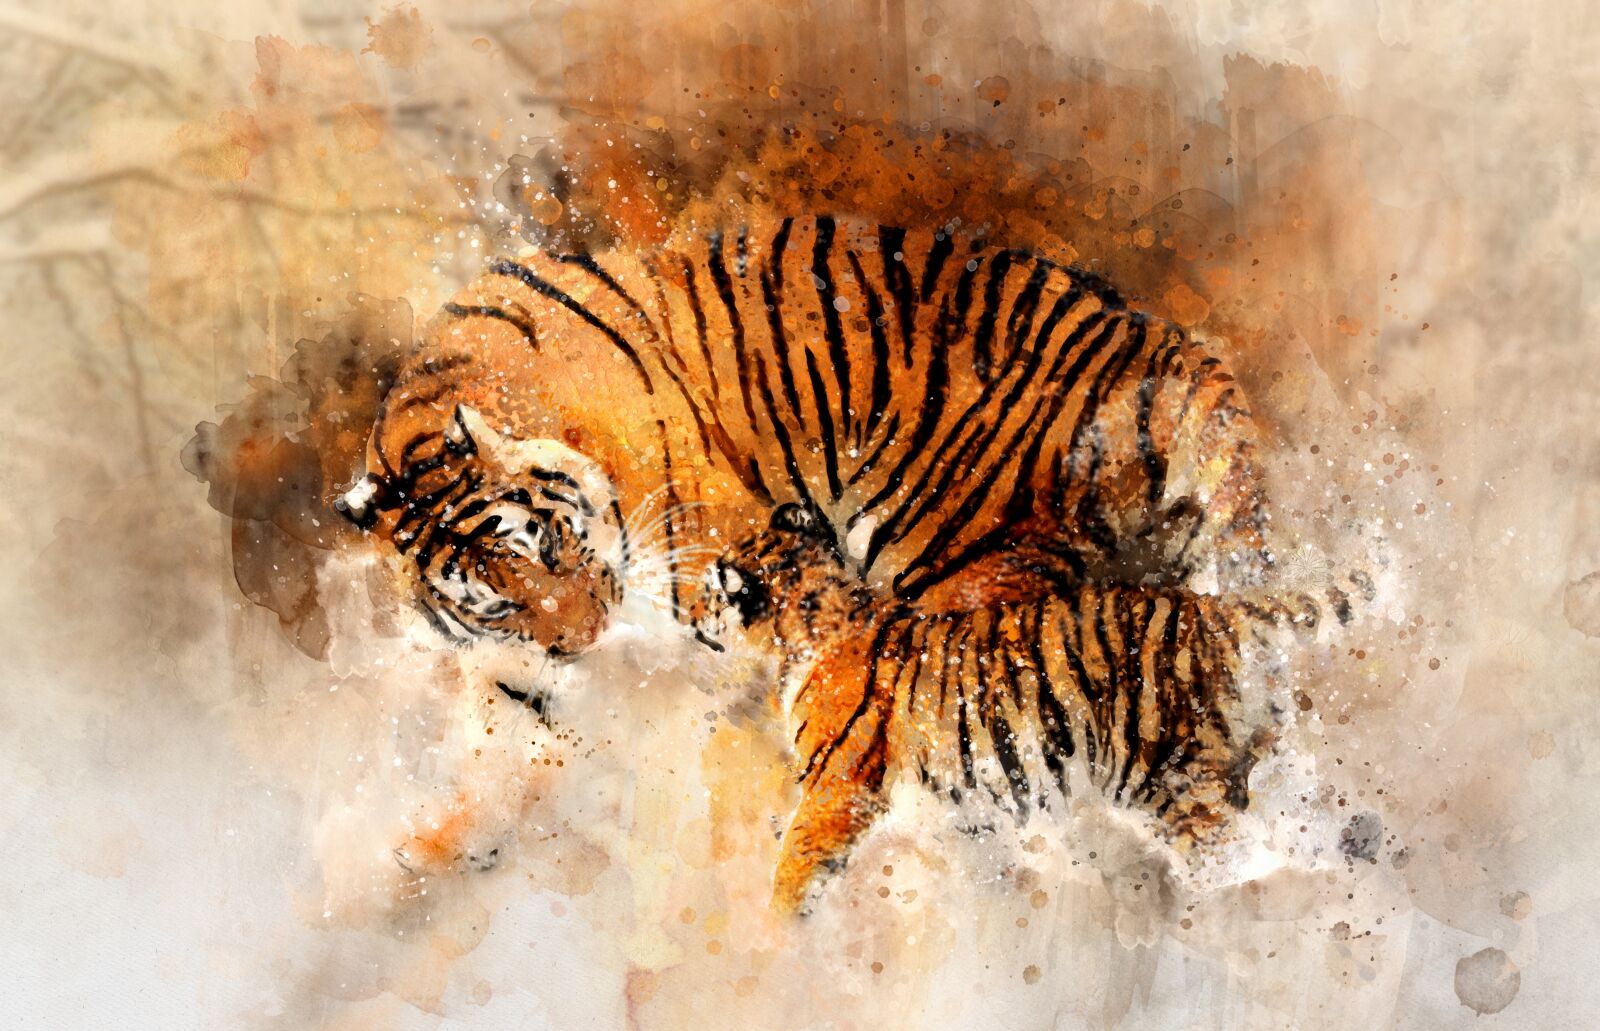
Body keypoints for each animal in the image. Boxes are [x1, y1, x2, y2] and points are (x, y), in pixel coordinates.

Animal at [333, 210, 1290, 911]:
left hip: (961, 560)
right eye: (491, 600)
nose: (587, 635)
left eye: (549, 544)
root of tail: (1156, 344)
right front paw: (408, 863)